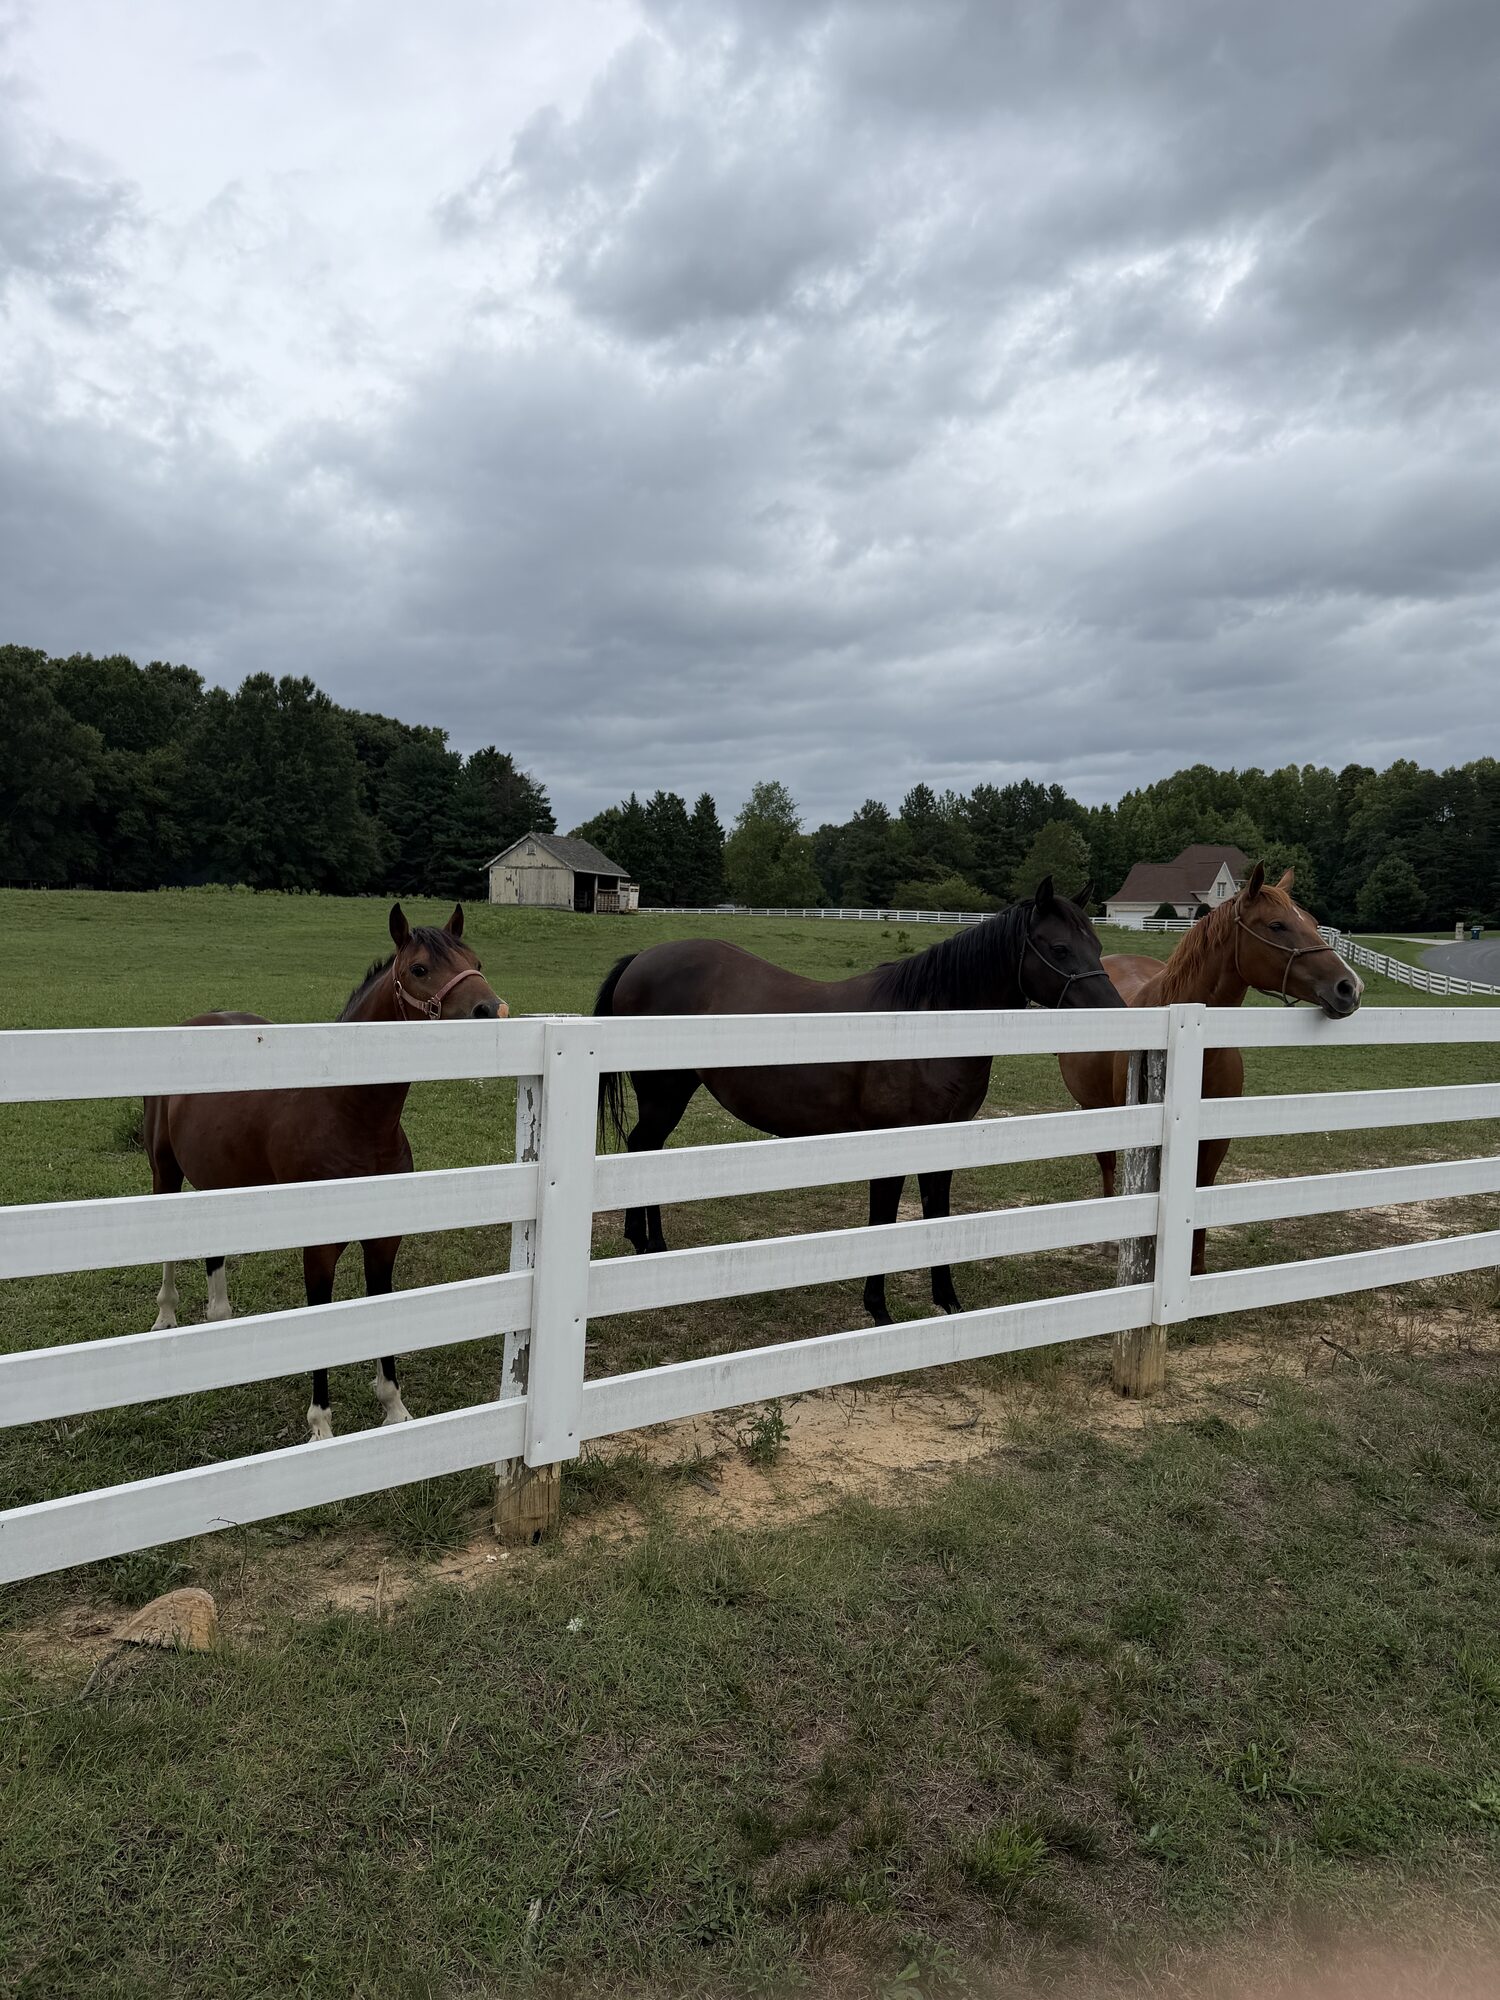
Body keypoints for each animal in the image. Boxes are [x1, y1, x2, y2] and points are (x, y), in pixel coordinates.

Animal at [143, 904, 505, 1440]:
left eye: (475, 960)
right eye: (419, 969)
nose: (492, 1010)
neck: (352, 1115)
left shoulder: (384, 1240)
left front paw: (394, 1408)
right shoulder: (319, 1247)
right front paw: (321, 1426)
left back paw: (220, 1320)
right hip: (165, 1171)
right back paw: (166, 1316)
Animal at [595, 877, 1126, 1325]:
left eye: (1098, 946)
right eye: (1060, 947)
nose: (1119, 1015)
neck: (926, 1028)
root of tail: (641, 958)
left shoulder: (942, 1143)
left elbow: (937, 1216)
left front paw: (948, 1302)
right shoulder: (888, 1143)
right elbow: (883, 1221)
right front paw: (879, 1310)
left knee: (646, 1153)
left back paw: (650, 1245)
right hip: (663, 1093)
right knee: (642, 1149)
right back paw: (647, 1243)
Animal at [1058, 864, 1362, 1275]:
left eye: (1314, 923)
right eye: (1277, 925)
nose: (1349, 987)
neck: (1198, 1048)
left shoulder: (1215, 1140)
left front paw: (1196, 1271)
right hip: (1095, 1107)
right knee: (1107, 1164)